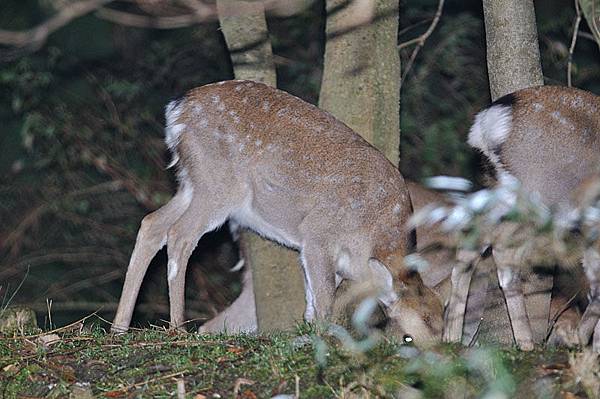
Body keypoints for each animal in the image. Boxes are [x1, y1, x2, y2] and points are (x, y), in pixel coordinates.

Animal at [111, 80, 446, 344]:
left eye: (442, 332)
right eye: (407, 335)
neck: (375, 237)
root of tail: (177, 110)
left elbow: (313, 303)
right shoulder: (317, 235)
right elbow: (324, 303)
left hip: (191, 181)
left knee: (151, 223)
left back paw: (119, 328)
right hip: (218, 184)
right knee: (180, 235)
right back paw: (177, 328)